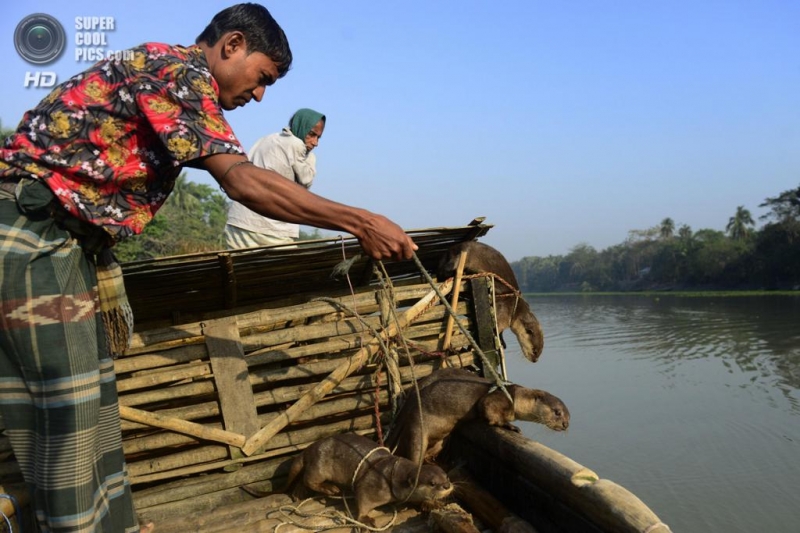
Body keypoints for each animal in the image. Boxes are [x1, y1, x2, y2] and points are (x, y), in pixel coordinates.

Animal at [276, 432, 450, 524]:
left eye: (446, 476)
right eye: (432, 483)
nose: (447, 486)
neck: (391, 476)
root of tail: (308, 449)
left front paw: (432, 503)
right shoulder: (374, 484)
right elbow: (363, 497)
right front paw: (365, 519)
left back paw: (298, 494)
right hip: (319, 463)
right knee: (309, 479)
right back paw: (330, 488)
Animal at [386, 368, 568, 464]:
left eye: (568, 416)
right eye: (557, 412)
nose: (566, 425)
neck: (515, 397)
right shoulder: (495, 399)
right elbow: (488, 411)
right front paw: (511, 426)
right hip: (417, 427)